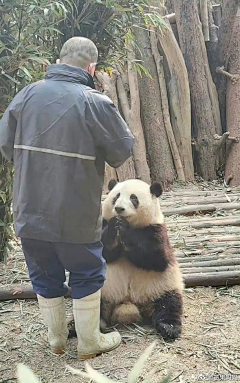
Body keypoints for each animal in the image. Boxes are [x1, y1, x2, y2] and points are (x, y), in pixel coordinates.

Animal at [101, 178, 184, 340]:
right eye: (116, 196)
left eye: (133, 198)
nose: (119, 209)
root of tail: (128, 303)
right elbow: (102, 252)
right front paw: (114, 226)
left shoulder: (157, 230)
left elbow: (156, 258)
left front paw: (125, 229)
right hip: (105, 290)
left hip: (162, 287)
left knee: (169, 304)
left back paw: (169, 327)